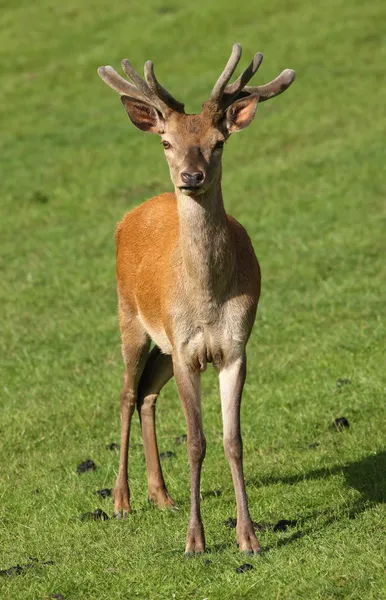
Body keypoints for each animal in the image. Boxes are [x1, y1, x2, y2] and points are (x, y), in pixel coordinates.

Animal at [97, 44, 296, 556]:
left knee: (147, 392)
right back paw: (123, 500)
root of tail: (130, 215)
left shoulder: (232, 348)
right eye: (166, 142)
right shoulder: (188, 352)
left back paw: (160, 495)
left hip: (165, 344)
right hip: (130, 316)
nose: (191, 175)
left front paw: (249, 538)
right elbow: (195, 441)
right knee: (127, 393)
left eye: (218, 140)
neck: (207, 300)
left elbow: (232, 441)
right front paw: (195, 542)